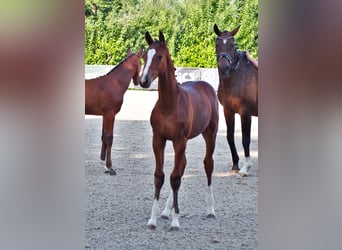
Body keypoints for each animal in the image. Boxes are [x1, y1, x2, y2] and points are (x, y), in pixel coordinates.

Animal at [140, 31, 218, 230]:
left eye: (160, 56)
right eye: (144, 56)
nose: (144, 81)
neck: (169, 104)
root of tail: (206, 86)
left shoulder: (179, 140)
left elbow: (175, 178)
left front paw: (175, 221)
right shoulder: (158, 139)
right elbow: (160, 176)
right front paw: (153, 219)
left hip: (210, 134)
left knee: (208, 164)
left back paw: (210, 210)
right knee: (182, 166)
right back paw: (167, 211)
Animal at [212, 23, 258, 176]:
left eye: (233, 45)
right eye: (217, 44)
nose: (224, 68)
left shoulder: (246, 113)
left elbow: (245, 139)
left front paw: (246, 167)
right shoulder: (228, 110)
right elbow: (230, 136)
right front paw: (235, 164)